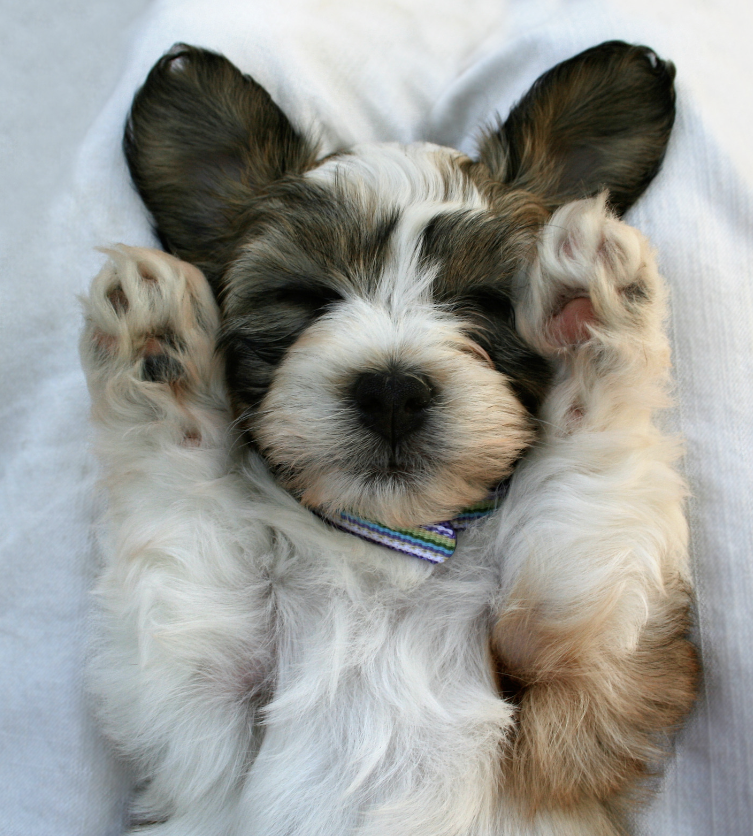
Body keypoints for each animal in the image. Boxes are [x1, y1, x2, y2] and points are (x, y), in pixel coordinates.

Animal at [80, 41, 698, 835]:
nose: (393, 392)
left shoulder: (585, 683)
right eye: (304, 296)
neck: (389, 548)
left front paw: (589, 301)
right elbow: (180, 509)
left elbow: (588, 481)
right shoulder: (197, 714)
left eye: (488, 302)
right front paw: (155, 346)